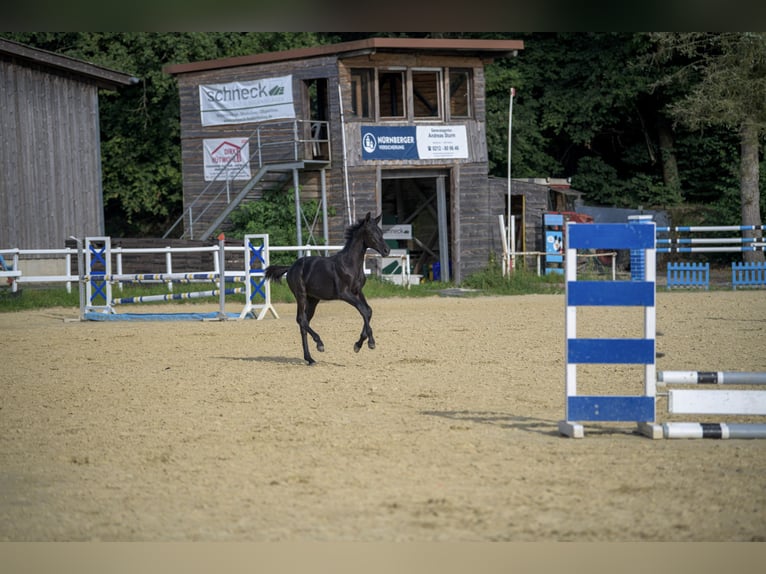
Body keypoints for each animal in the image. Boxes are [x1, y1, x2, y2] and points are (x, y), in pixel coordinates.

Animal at [268, 214, 392, 366]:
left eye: (380, 232)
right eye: (371, 233)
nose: (386, 251)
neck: (350, 264)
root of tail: (290, 267)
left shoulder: (358, 292)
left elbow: (368, 311)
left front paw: (358, 345)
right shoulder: (344, 293)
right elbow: (363, 310)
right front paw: (371, 343)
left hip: (313, 299)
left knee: (304, 322)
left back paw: (309, 358)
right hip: (300, 295)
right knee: (301, 319)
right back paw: (320, 344)